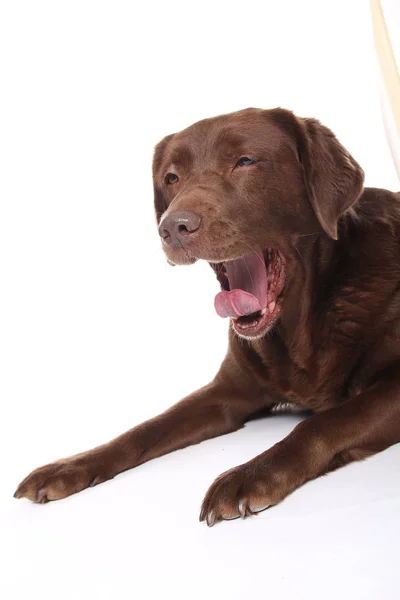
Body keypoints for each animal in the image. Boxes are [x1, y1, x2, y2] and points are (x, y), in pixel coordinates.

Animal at [14, 108, 400, 524]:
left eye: (245, 161)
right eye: (172, 178)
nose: (173, 226)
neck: (300, 321)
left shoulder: (391, 387)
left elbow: (320, 423)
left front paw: (250, 475)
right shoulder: (226, 392)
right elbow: (147, 428)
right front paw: (70, 465)